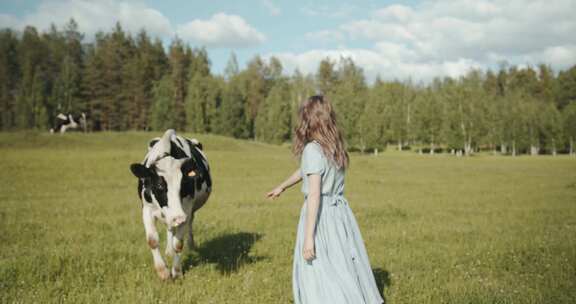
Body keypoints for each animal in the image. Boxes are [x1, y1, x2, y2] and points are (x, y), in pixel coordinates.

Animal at [129, 129, 213, 280]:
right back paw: (168, 251)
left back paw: (191, 246)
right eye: (159, 185)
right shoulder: (146, 209)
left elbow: (178, 243)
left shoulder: (186, 209)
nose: (178, 218)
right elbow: (152, 240)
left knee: (189, 225)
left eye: (184, 183)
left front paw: (177, 272)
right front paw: (163, 272)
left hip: (189, 212)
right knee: (169, 227)